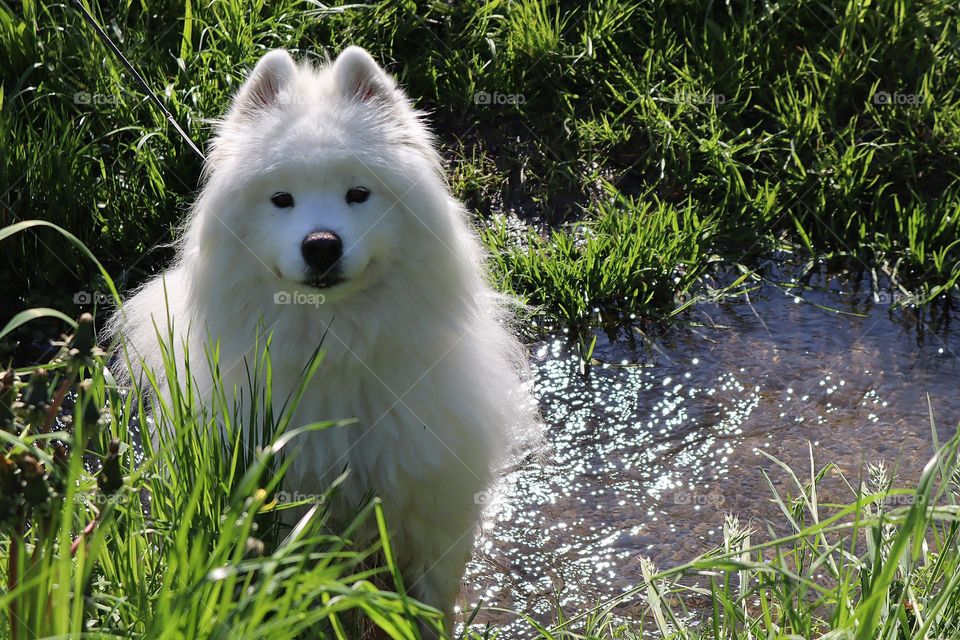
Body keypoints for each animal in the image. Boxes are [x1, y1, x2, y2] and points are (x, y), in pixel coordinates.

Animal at [110, 47, 540, 632]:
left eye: (357, 194)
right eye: (281, 199)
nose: (320, 244)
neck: (335, 345)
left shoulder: (431, 508)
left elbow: (432, 603)